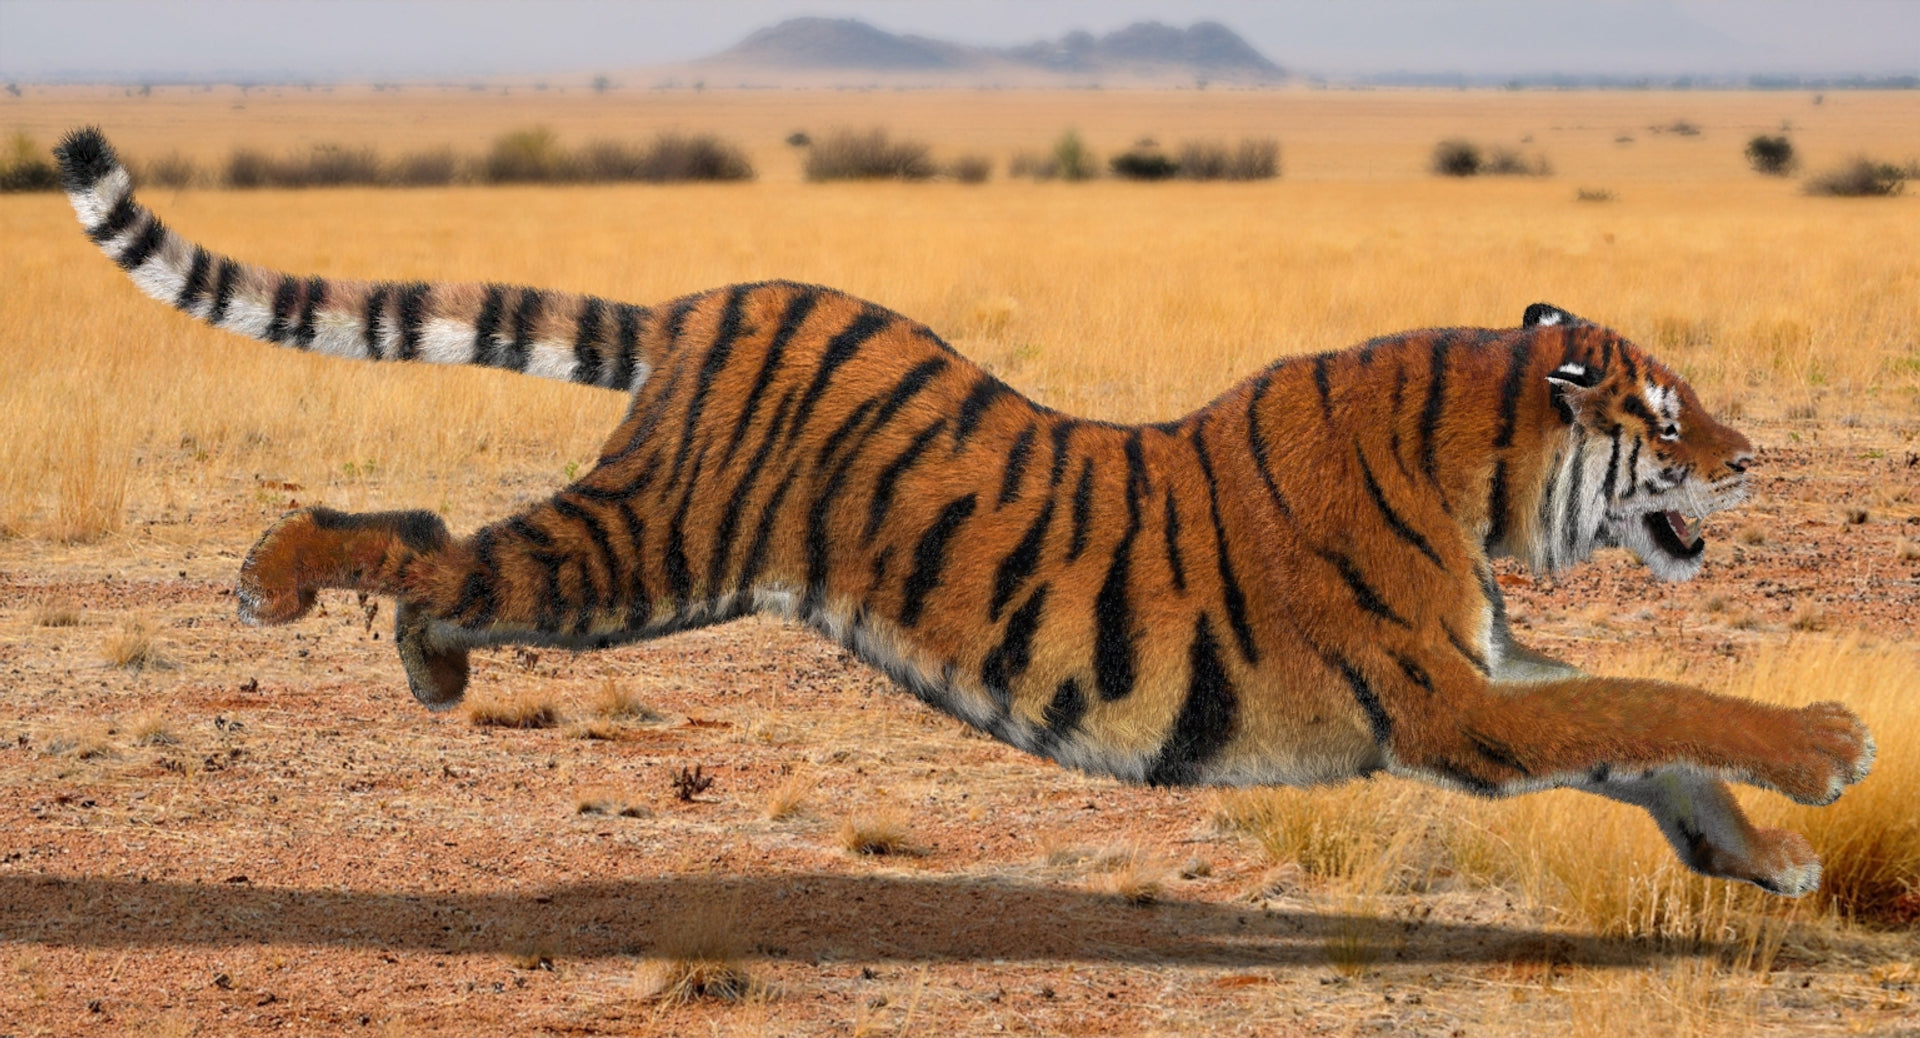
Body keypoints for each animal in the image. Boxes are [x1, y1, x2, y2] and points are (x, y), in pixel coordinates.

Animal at [55, 127, 1872, 898]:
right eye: (1666, 416)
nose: (1746, 458)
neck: (1480, 472)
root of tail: (702, 298)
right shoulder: (1449, 700)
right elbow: (1655, 699)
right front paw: (1831, 752)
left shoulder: (1486, 673)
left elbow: (1645, 730)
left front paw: (1763, 850)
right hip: (641, 551)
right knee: (447, 554)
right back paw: (286, 583)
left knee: (453, 556)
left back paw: (416, 663)